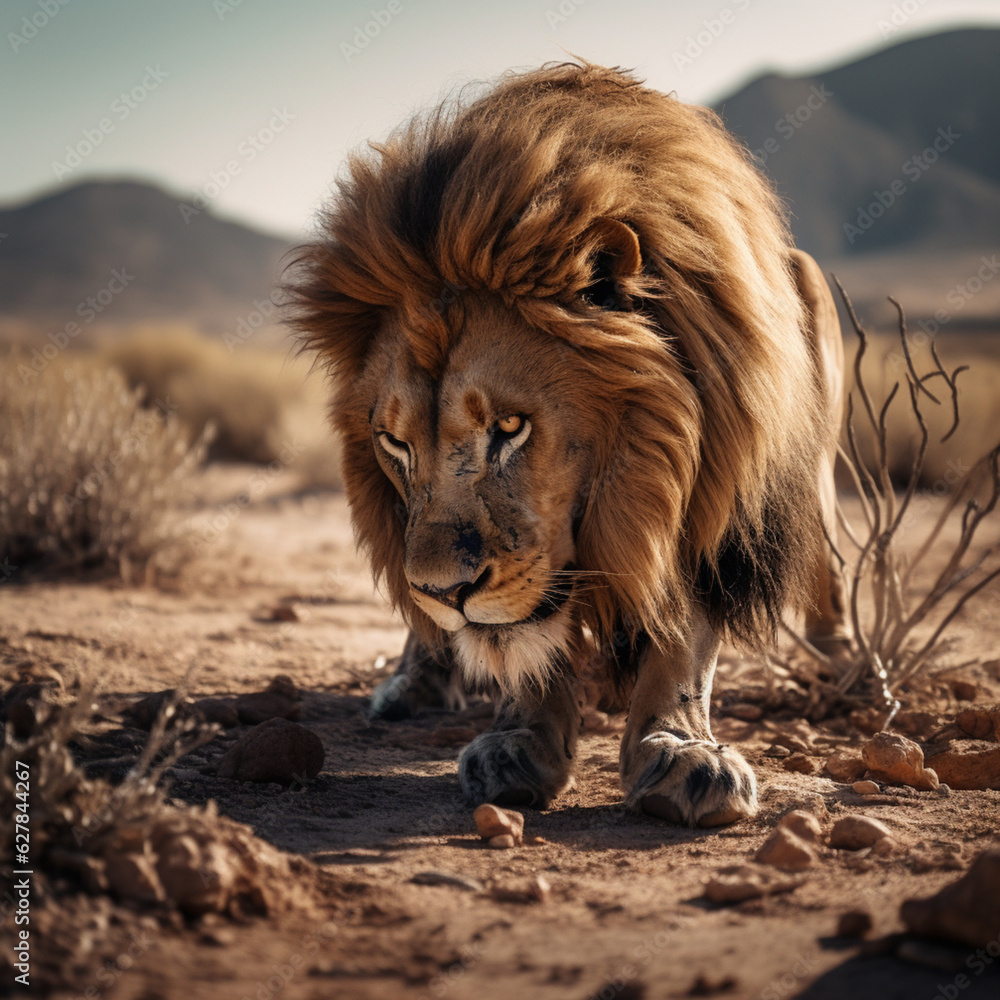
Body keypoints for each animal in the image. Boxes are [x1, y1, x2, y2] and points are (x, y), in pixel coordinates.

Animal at [287, 62, 848, 827]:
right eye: (394, 444)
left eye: (508, 428)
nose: (445, 591)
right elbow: (528, 643)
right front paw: (519, 741)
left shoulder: (711, 494)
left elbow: (683, 636)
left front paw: (683, 753)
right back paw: (419, 678)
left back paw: (843, 657)